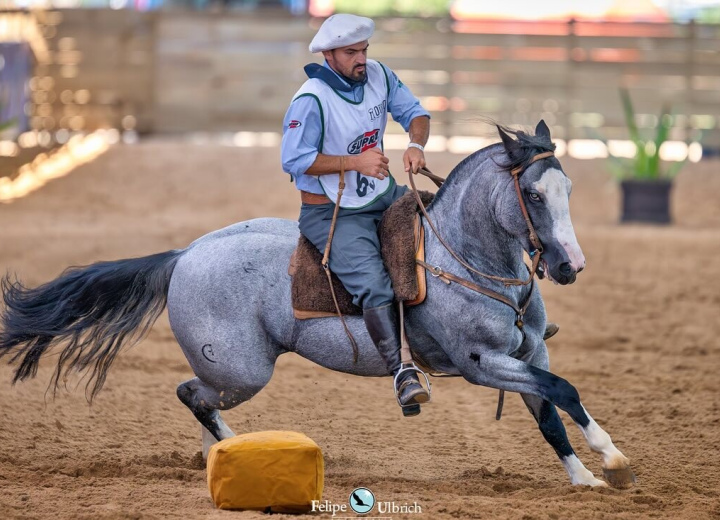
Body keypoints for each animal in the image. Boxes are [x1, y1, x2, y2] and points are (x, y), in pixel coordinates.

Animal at [0, 121, 632, 488]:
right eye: (531, 194)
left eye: (568, 190)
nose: (570, 266)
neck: (464, 257)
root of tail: (185, 254)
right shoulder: (483, 365)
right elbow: (564, 394)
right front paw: (612, 459)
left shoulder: (528, 357)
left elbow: (553, 411)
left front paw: (586, 477)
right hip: (242, 371)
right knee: (190, 394)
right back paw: (231, 450)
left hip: (234, 373)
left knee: (197, 400)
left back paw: (220, 456)